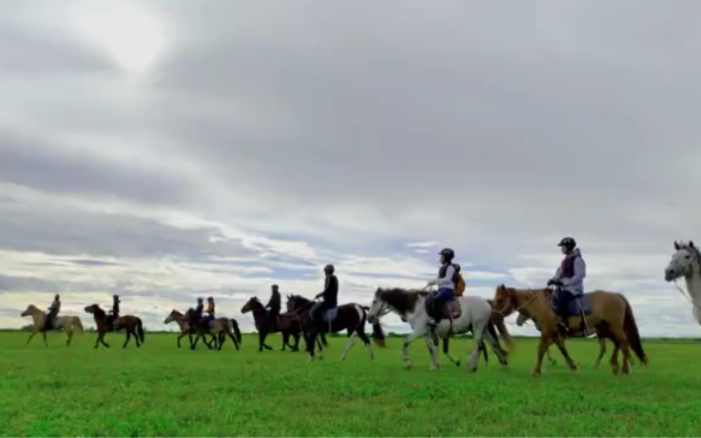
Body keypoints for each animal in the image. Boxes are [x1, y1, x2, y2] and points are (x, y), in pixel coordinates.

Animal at [364, 288, 506, 372]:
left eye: (374, 301)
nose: (369, 318)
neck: (415, 306)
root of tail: (487, 302)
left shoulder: (419, 329)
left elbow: (405, 342)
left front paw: (407, 362)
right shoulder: (426, 333)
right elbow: (431, 348)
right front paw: (434, 366)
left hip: (478, 327)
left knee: (477, 345)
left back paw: (471, 365)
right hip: (483, 329)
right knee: (492, 344)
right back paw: (502, 364)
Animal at [492, 284, 644, 376]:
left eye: (499, 299)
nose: (493, 316)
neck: (543, 305)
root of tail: (617, 295)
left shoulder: (548, 332)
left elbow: (542, 349)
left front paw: (536, 371)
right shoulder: (555, 334)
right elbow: (562, 349)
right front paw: (572, 366)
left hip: (613, 328)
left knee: (623, 343)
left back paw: (624, 369)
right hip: (606, 330)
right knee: (617, 344)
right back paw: (616, 366)